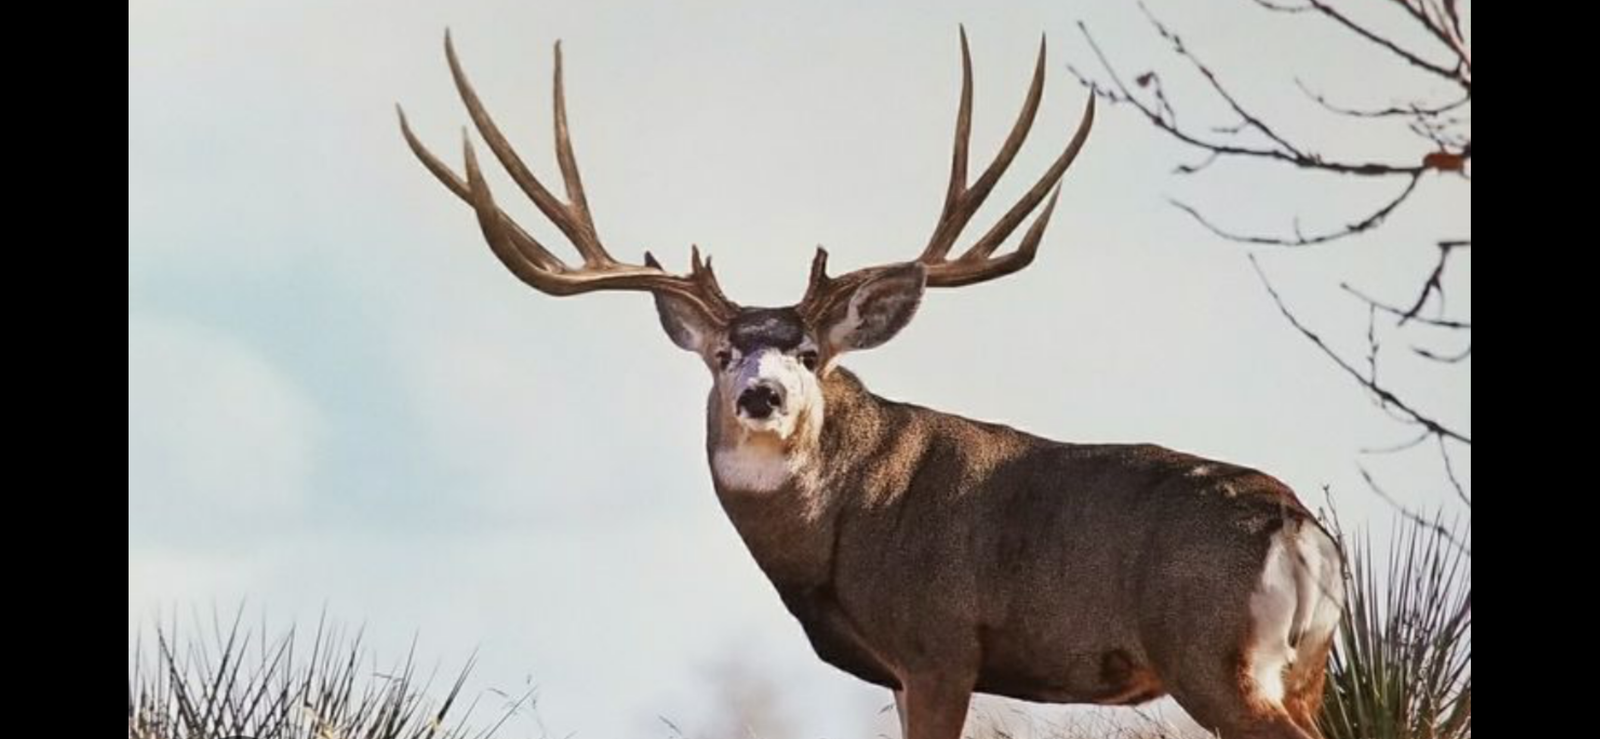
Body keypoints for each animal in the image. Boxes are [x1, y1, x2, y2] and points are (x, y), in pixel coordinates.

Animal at [398, 29, 1346, 739]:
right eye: (722, 353)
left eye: (811, 353)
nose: (763, 395)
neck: (835, 530)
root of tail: (1296, 523)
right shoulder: (902, 667)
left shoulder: (937, 643)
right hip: (1305, 667)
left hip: (1210, 653)